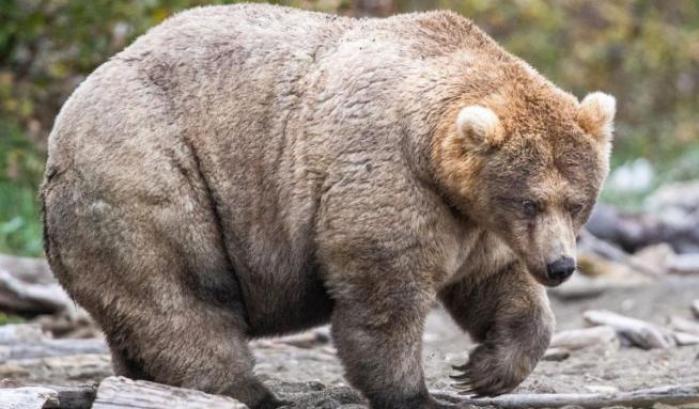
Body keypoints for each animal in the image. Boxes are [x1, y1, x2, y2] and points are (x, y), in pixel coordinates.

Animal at [41, 3, 616, 408]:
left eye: (577, 203)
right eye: (530, 202)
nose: (560, 266)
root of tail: (63, 122)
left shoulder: (473, 221)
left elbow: (495, 283)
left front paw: (483, 370)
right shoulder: (388, 176)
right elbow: (384, 297)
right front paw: (416, 393)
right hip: (150, 174)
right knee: (180, 295)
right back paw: (250, 392)